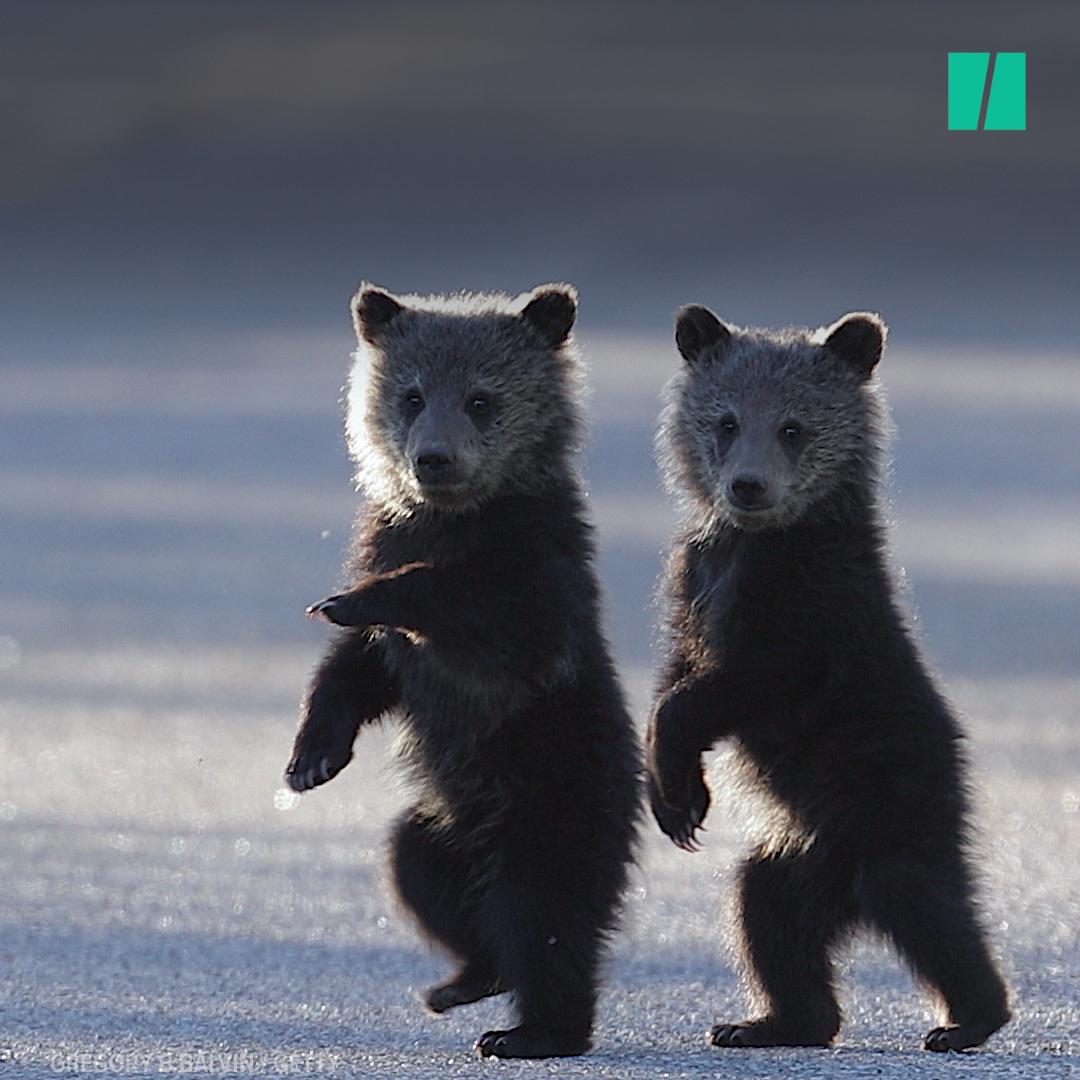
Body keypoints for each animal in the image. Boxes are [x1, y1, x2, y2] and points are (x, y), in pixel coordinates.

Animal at [284, 282, 640, 1060]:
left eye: (482, 399)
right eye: (412, 395)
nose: (434, 460)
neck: (454, 519)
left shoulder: (538, 577)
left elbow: (493, 625)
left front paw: (351, 600)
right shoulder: (389, 541)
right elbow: (363, 670)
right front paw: (311, 758)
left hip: (558, 796)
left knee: (545, 913)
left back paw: (532, 1030)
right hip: (440, 830)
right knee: (421, 876)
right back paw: (464, 979)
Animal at [645, 305, 1011, 1053]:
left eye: (793, 426)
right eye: (727, 420)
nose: (747, 485)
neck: (756, 541)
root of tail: (847, 896)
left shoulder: (814, 604)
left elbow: (746, 679)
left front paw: (680, 777)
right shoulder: (693, 579)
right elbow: (677, 670)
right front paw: (674, 798)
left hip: (894, 800)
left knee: (929, 908)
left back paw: (970, 1017)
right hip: (798, 857)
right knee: (766, 916)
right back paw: (766, 1020)